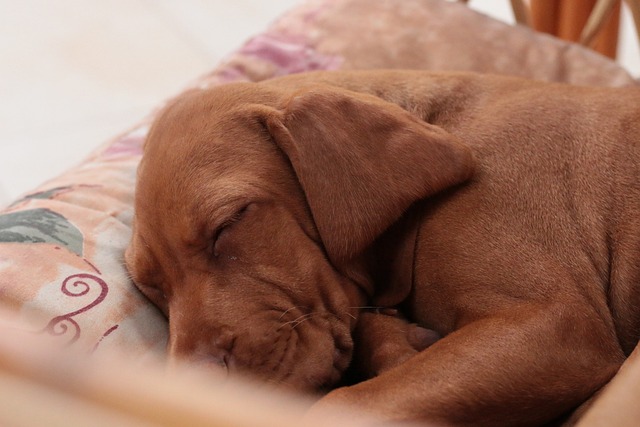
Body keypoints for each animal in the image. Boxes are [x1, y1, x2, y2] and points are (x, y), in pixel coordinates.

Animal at [125, 71, 640, 427]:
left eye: (231, 221)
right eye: (150, 287)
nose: (193, 393)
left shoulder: (555, 326)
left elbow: (342, 405)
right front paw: (397, 340)